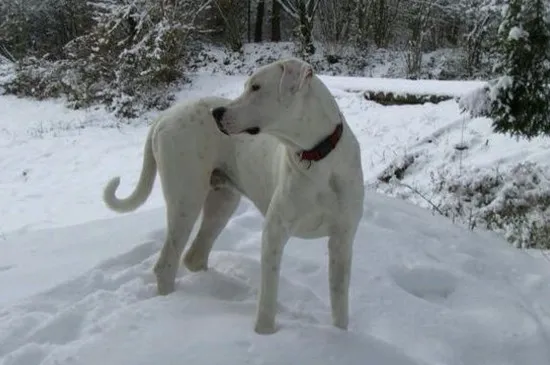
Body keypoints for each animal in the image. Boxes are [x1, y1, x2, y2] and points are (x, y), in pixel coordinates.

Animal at [103, 58, 366, 334]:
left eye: (256, 87)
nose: (216, 113)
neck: (316, 157)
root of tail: (164, 116)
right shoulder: (274, 233)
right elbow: (268, 296)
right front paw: (264, 333)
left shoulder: (342, 240)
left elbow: (339, 302)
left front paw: (339, 336)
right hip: (186, 200)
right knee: (166, 264)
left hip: (222, 203)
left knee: (194, 255)